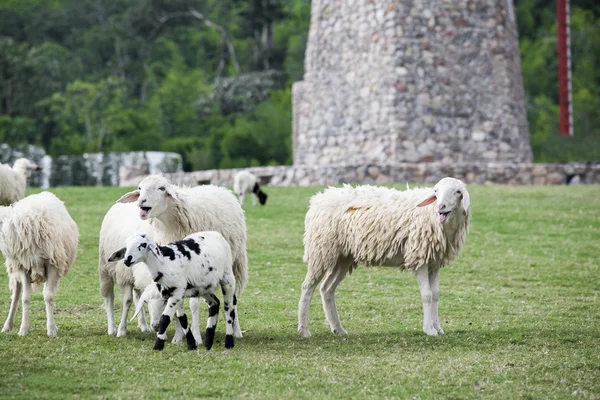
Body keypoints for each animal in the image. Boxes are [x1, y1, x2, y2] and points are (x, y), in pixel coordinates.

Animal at [0, 192, 78, 336]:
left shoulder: (52, 264)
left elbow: (48, 296)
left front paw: (51, 329)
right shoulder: (24, 266)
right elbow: (25, 298)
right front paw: (23, 329)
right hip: (16, 268)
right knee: (16, 294)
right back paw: (7, 325)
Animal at [109, 231, 240, 350]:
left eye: (143, 244)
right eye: (126, 246)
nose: (127, 260)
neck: (164, 263)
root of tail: (217, 234)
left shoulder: (176, 294)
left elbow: (165, 319)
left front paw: (158, 346)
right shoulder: (175, 294)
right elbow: (182, 318)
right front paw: (191, 345)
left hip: (228, 278)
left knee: (229, 308)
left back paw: (229, 342)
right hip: (203, 288)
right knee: (215, 303)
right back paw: (208, 341)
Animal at [116, 174, 247, 332]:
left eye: (162, 188)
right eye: (140, 188)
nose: (141, 201)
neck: (169, 224)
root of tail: (220, 188)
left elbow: (193, 303)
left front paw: (194, 333)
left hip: (232, 262)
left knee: (231, 298)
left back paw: (236, 330)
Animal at [298, 178, 472, 338]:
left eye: (458, 192)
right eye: (435, 191)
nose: (440, 207)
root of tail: (318, 199)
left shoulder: (434, 262)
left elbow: (435, 294)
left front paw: (438, 327)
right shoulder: (418, 258)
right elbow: (427, 295)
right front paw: (429, 330)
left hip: (343, 256)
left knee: (327, 288)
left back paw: (337, 328)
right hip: (321, 250)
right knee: (308, 287)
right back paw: (304, 330)